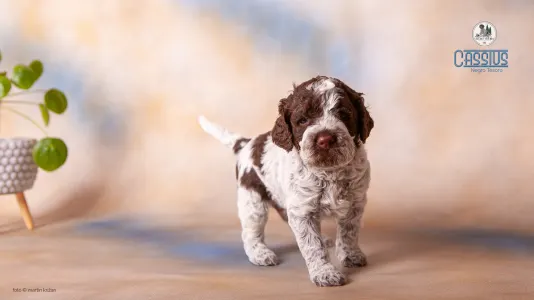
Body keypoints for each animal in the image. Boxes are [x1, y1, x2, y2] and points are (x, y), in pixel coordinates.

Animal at [199, 75, 374, 286]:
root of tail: (247, 143)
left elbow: (349, 233)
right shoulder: (302, 210)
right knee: (250, 231)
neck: (328, 171)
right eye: (302, 120)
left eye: (344, 114)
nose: (325, 139)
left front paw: (350, 255)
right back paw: (260, 253)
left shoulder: (355, 203)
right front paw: (324, 272)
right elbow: (312, 244)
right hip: (252, 200)